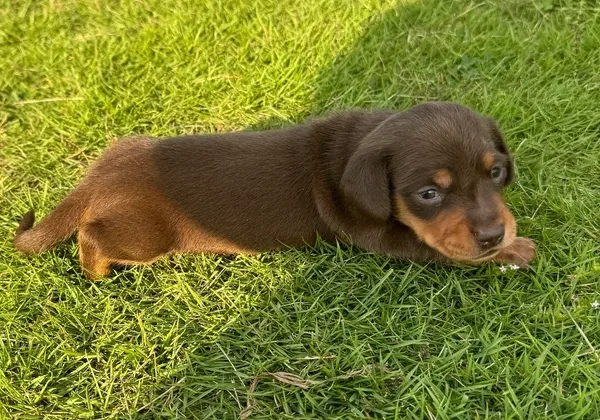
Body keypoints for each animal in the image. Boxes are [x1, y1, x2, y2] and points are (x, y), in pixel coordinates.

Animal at [12, 101, 536, 278]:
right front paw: (514, 251)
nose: (494, 234)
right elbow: (442, 250)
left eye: (495, 173)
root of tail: (98, 176)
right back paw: (97, 271)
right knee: (92, 236)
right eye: (428, 194)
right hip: (146, 234)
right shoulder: (379, 236)